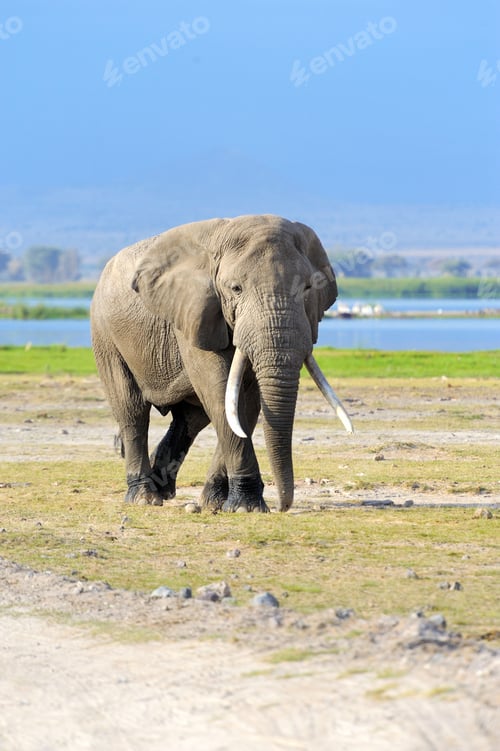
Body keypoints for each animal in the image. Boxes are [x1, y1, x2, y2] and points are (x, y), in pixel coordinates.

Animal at [90, 214, 353, 513]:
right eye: (236, 289)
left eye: (308, 288)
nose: (283, 506)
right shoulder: (193, 311)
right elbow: (218, 391)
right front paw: (246, 508)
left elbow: (244, 403)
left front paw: (217, 504)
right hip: (105, 334)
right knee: (132, 410)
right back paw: (145, 497)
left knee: (191, 419)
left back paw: (164, 488)